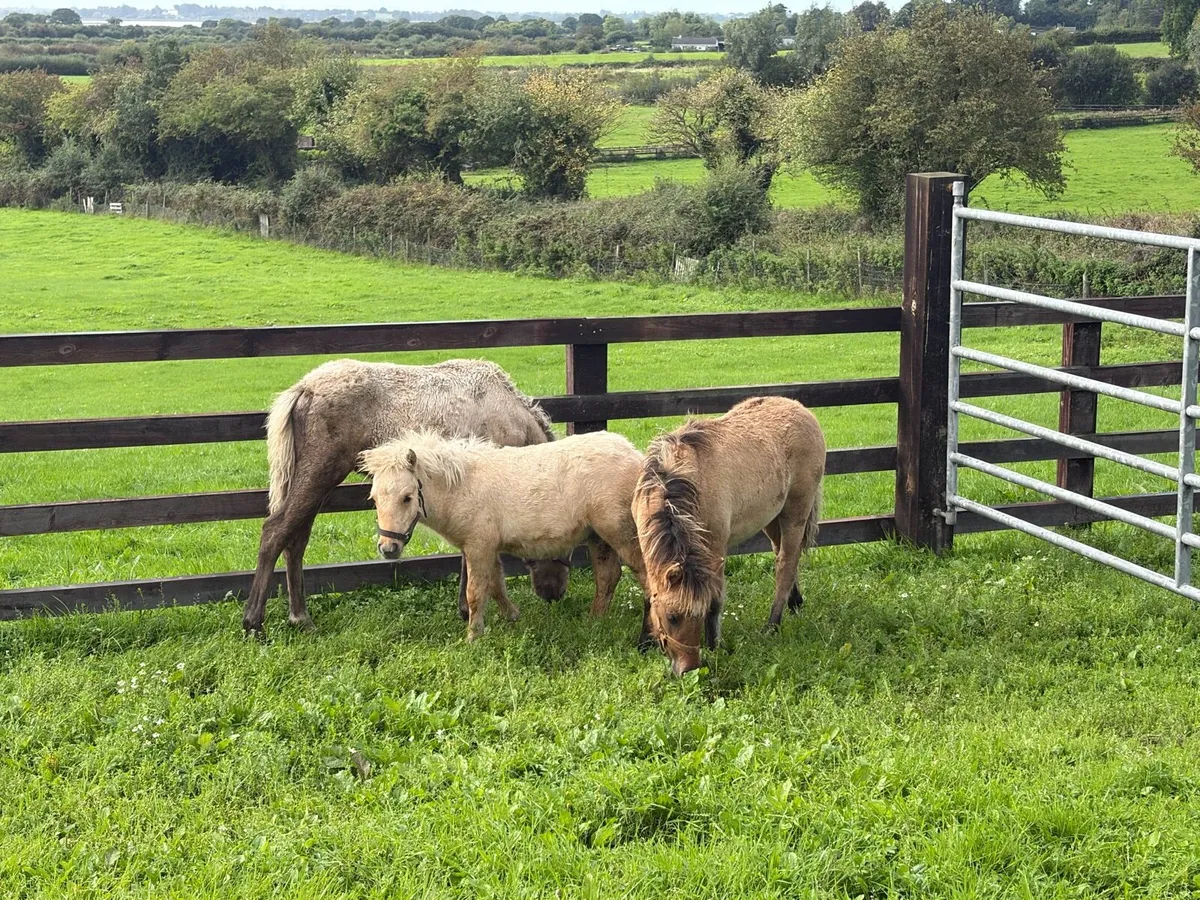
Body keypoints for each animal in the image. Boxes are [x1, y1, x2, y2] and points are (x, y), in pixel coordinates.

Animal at [242, 358, 572, 636]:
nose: (553, 593)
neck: (513, 418)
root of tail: (303, 388)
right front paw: (470, 611)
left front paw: (465, 609)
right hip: (319, 474)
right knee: (275, 531)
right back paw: (254, 621)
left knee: (296, 539)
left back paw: (300, 616)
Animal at [360, 430, 648, 642]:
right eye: (373, 498)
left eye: (407, 497)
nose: (388, 548)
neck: (462, 487)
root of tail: (635, 455)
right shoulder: (486, 547)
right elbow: (496, 585)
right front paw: (512, 617)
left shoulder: (478, 547)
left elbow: (475, 592)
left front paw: (473, 637)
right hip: (598, 537)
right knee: (607, 577)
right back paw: (594, 620)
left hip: (620, 533)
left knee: (644, 573)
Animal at [631, 396, 826, 675]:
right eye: (672, 617)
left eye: (698, 615)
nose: (688, 669)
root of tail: (801, 409)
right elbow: (649, 594)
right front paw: (643, 642)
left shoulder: (715, 551)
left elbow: (715, 600)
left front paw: (715, 645)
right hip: (772, 518)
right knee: (785, 554)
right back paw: (795, 602)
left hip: (795, 513)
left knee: (786, 564)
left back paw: (772, 625)